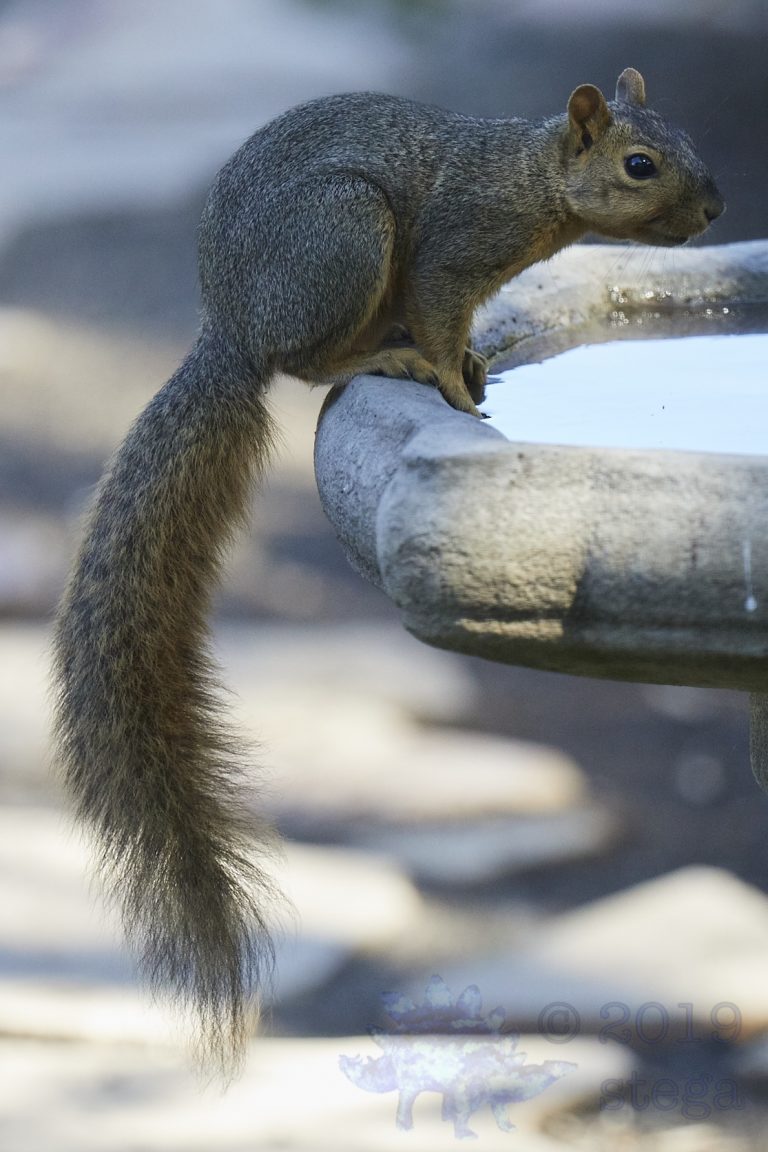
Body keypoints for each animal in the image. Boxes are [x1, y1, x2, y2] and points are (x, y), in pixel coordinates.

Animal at [52, 68, 724, 1069]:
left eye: (683, 136)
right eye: (639, 165)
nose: (716, 208)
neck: (529, 180)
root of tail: (232, 326)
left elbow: (464, 327)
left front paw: (480, 362)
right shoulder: (451, 252)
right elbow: (441, 320)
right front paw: (453, 385)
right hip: (344, 232)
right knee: (305, 359)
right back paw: (383, 356)